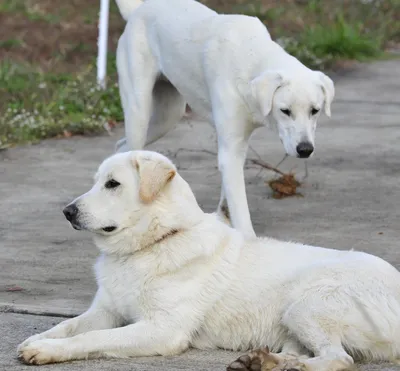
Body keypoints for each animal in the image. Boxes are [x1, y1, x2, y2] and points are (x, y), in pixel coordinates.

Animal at [18, 151, 400, 371]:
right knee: (310, 353)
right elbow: (69, 326)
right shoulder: (106, 311)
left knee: (340, 360)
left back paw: (287, 367)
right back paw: (263, 361)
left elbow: (93, 339)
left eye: (113, 184)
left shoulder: (163, 330)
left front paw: (48, 351)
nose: (67, 212)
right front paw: (38, 340)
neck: (156, 242)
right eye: (97, 182)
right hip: (293, 321)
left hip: (305, 305)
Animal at [114, 0, 336, 238]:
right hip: (139, 113)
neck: (251, 58)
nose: (305, 150)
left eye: (315, 110)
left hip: (167, 118)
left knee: (121, 146)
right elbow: (240, 209)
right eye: (285, 111)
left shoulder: (236, 147)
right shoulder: (231, 151)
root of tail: (138, 10)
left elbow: (228, 200)